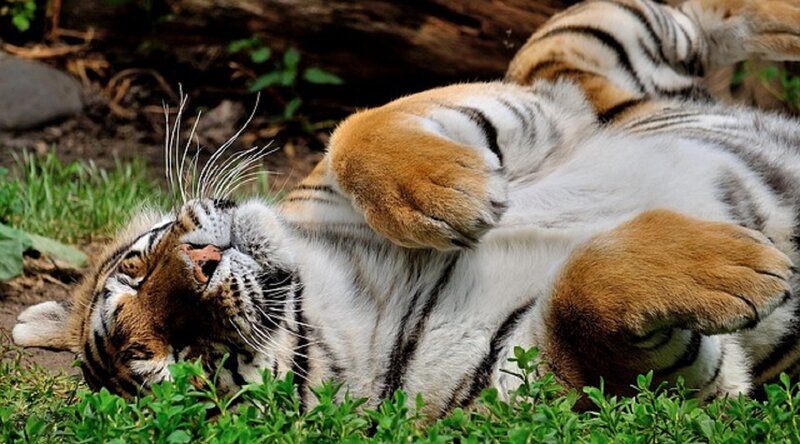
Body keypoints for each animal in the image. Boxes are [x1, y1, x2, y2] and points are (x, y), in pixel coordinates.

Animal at [11, 0, 800, 417]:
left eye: (137, 269)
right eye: (179, 361)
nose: (202, 261)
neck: (346, 295)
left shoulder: (508, 106)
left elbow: (354, 129)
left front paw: (454, 193)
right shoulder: (603, 382)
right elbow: (581, 294)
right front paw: (750, 268)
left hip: (572, 55)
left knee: (696, 20)